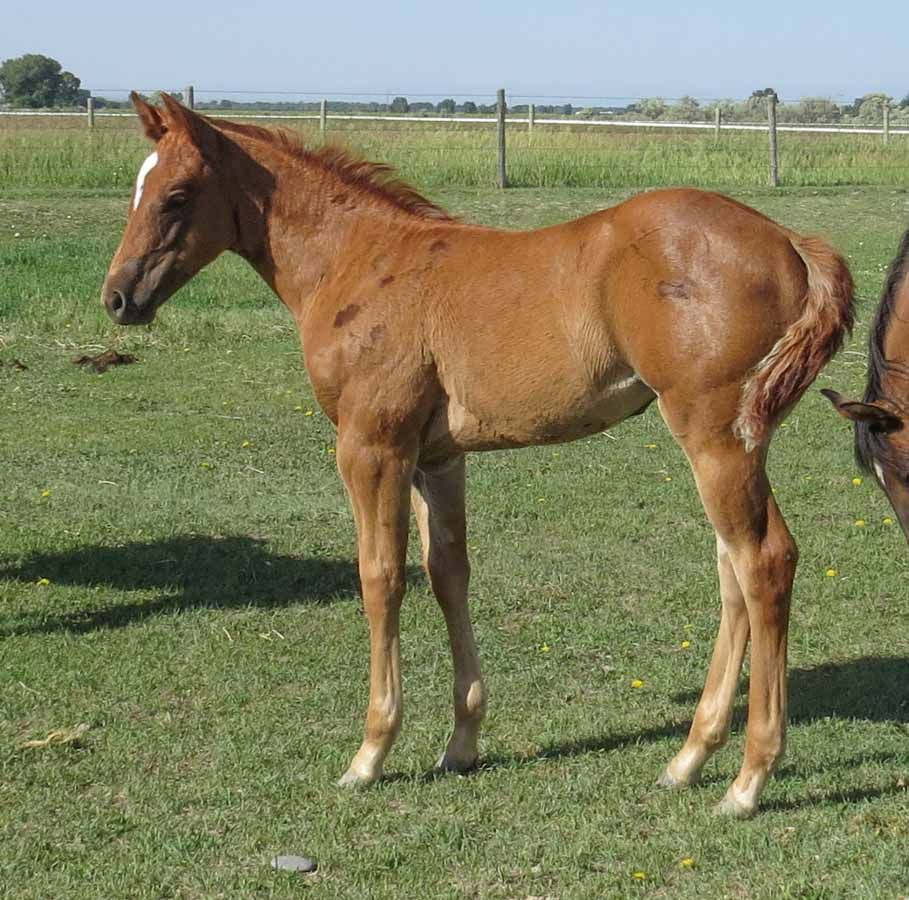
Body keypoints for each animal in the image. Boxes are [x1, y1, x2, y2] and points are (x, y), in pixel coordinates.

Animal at [101, 93, 854, 818]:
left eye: (176, 196)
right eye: (137, 189)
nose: (118, 297)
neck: (359, 260)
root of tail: (790, 242)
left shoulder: (370, 446)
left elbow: (380, 579)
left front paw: (369, 754)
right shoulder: (436, 458)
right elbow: (447, 574)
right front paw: (460, 744)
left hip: (714, 436)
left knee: (763, 561)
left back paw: (748, 781)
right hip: (734, 442)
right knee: (732, 569)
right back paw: (688, 759)